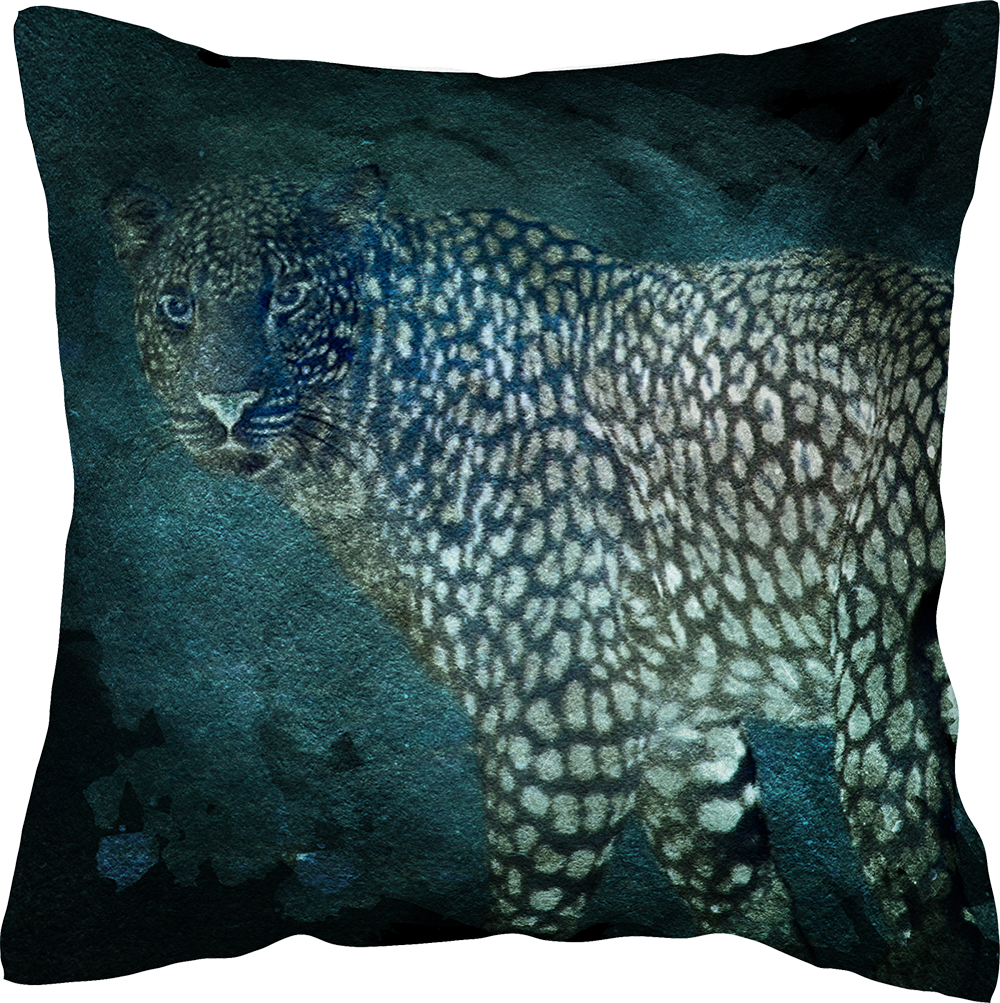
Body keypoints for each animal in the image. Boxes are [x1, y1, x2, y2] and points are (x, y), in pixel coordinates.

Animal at [105, 164, 969, 970]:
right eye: (177, 306)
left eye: (286, 298)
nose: (227, 407)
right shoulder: (681, 733)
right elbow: (744, 904)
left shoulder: (562, 724)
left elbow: (531, 909)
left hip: (884, 699)